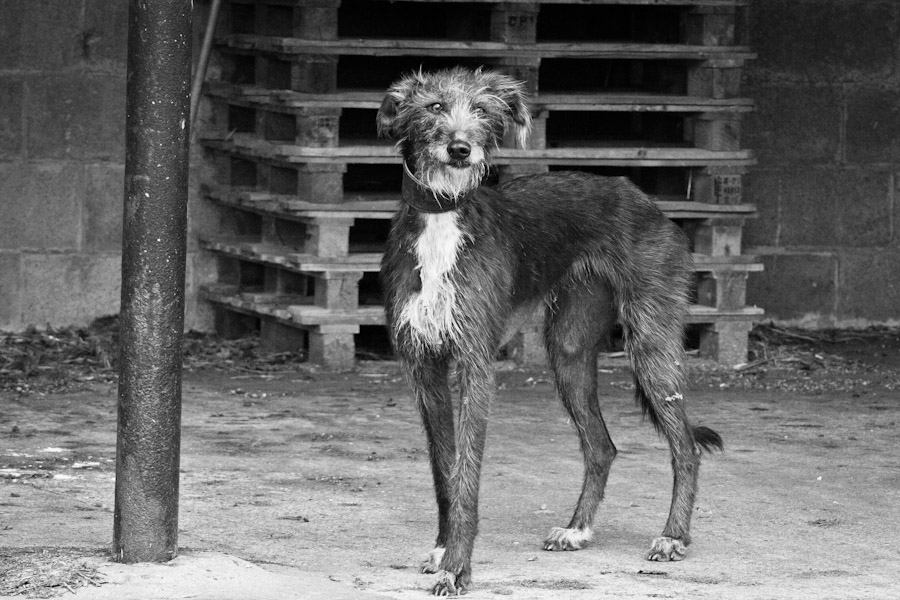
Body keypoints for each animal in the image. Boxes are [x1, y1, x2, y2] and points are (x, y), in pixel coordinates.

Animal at [376, 67, 720, 596]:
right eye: (434, 106)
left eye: (481, 110)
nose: (461, 150)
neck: (443, 212)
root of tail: (644, 200)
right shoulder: (423, 365)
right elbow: (443, 469)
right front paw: (442, 550)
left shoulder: (475, 362)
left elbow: (467, 473)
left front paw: (457, 568)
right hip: (570, 351)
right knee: (601, 445)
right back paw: (578, 528)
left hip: (651, 342)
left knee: (686, 447)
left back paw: (672, 536)